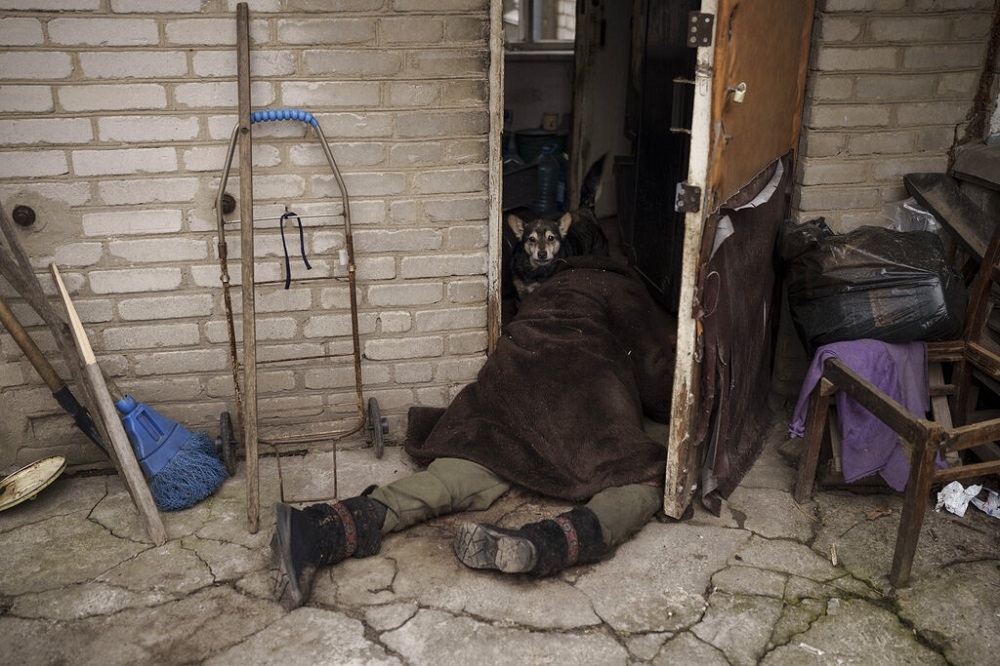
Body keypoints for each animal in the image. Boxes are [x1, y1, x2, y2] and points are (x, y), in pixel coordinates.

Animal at [508, 153, 608, 298]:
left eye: (551, 238)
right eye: (532, 239)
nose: (542, 254)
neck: (535, 270)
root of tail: (585, 210)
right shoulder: (521, 293)